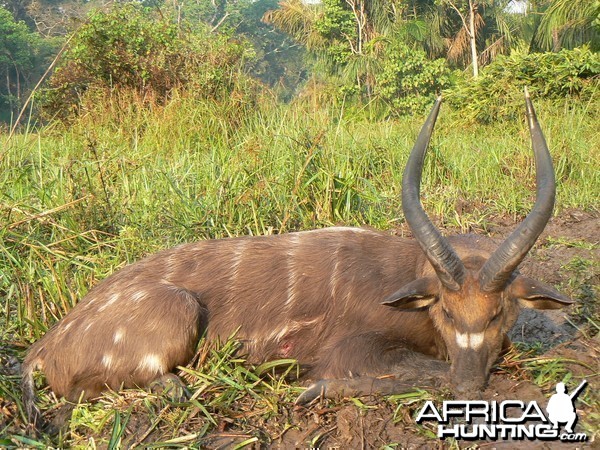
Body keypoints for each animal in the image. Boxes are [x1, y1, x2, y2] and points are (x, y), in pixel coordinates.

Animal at [19, 92, 572, 428]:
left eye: (499, 313)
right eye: (446, 311)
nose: (470, 382)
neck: (404, 278)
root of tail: (43, 348)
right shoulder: (353, 349)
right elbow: (412, 373)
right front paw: (311, 391)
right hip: (177, 310)